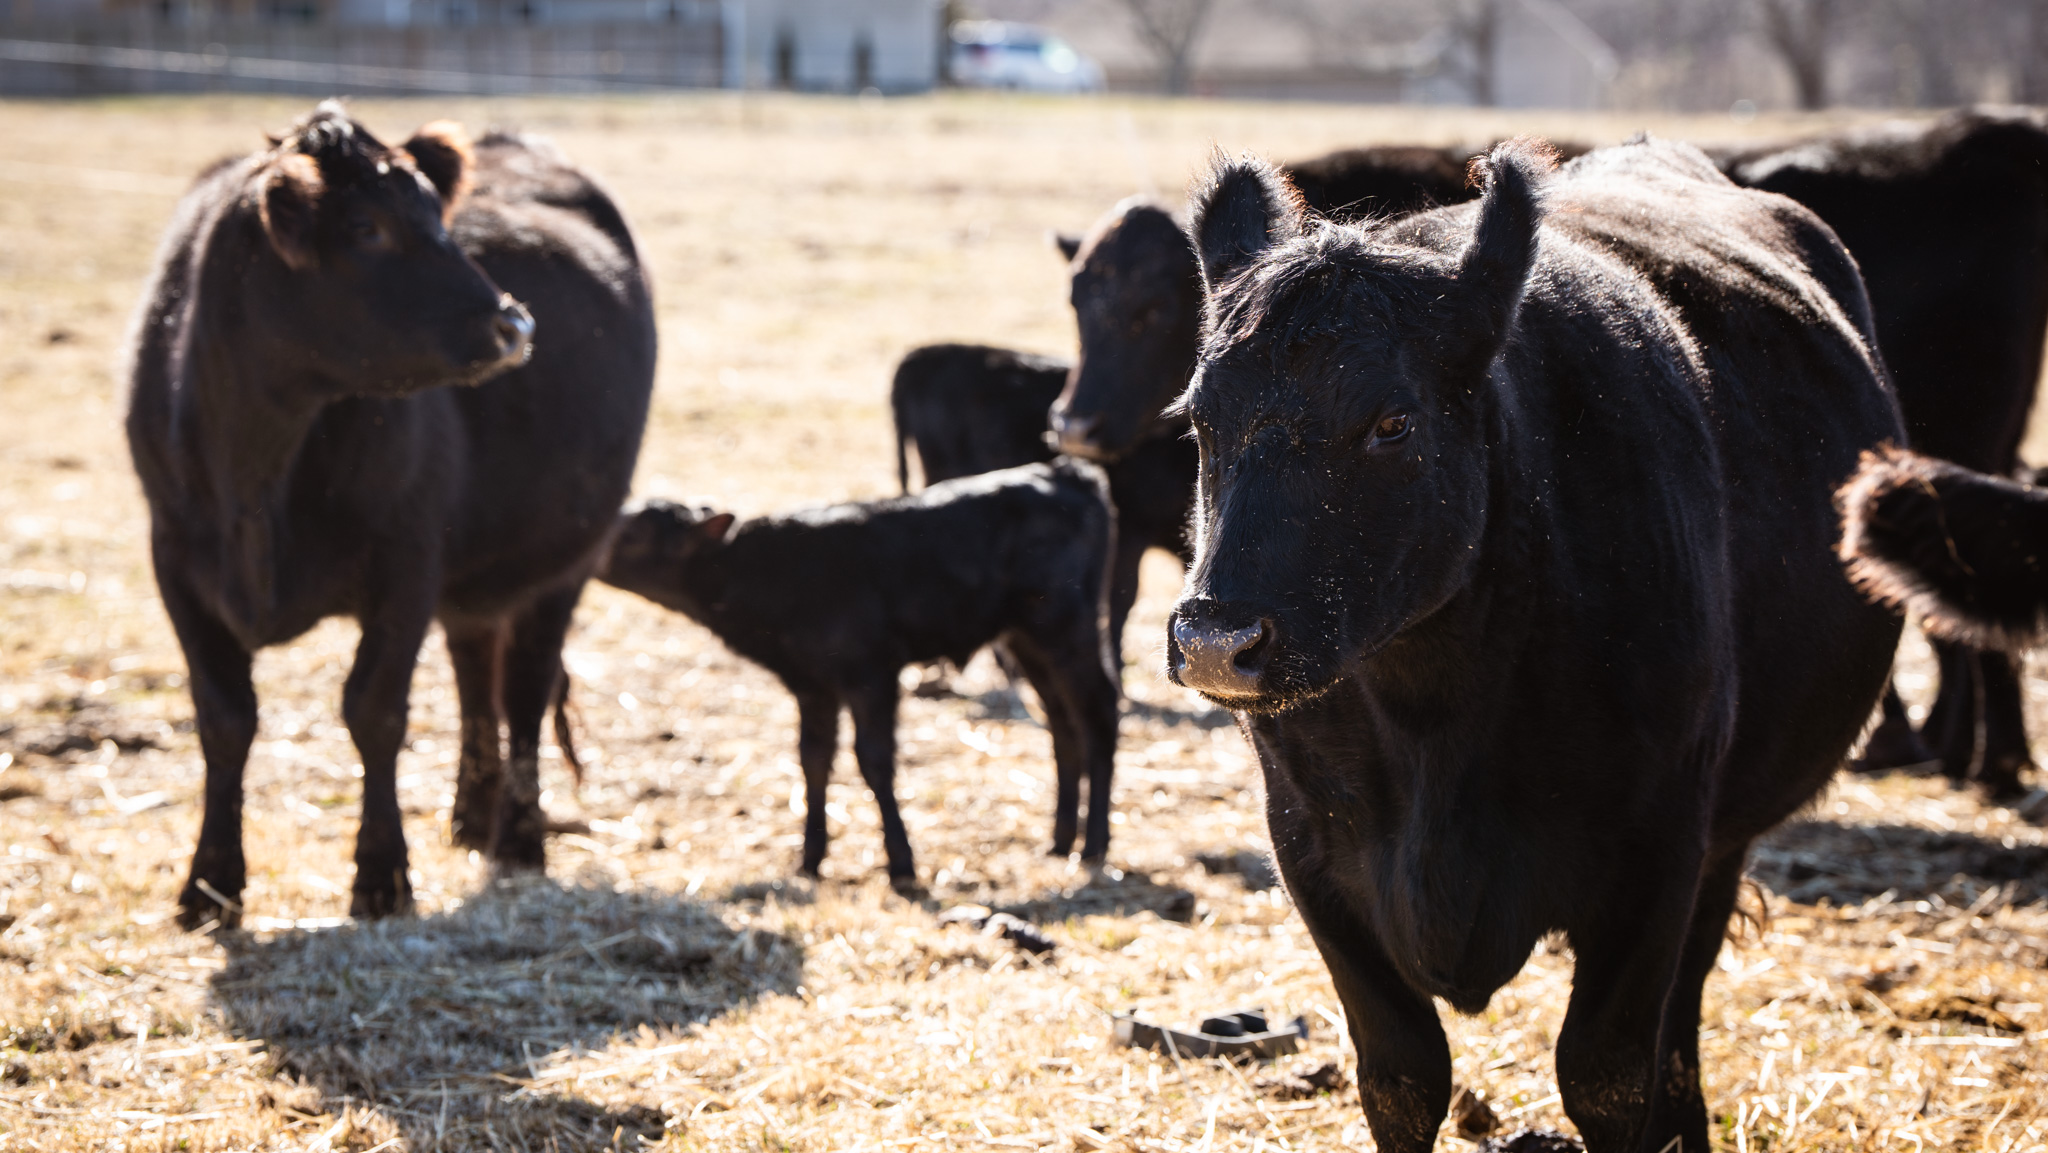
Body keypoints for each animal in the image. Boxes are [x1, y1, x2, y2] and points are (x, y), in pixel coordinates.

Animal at [125, 102, 655, 927]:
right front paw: (210, 883)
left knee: (524, 687)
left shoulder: (407, 562)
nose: (515, 326)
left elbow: (373, 710)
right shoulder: (175, 559)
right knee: (475, 664)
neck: (256, 462)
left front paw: (381, 875)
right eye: (366, 228)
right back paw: (473, 812)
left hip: (566, 556)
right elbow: (224, 718)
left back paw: (518, 838)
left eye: (436, 214)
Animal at [597, 459, 1121, 890]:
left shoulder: (871, 672)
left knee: (1098, 711)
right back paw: (1060, 840)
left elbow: (873, 760)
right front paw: (809, 860)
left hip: (1064, 622)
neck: (771, 573)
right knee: (1062, 721)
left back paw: (1094, 846)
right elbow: (812, 758)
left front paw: (901, 864)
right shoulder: (811, 684)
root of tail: (1066, 472)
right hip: (1025, 636)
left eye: (634, 533)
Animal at [1164, 139, 1900, 1152]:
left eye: (1392, 423)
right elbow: (1400, 1076)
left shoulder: (1658, 852)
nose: (1214, 640)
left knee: (1680, 1020)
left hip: (1720, 839)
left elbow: (1609, 1074)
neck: (1435, 715)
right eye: (1201, 419)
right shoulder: (1309, 847)